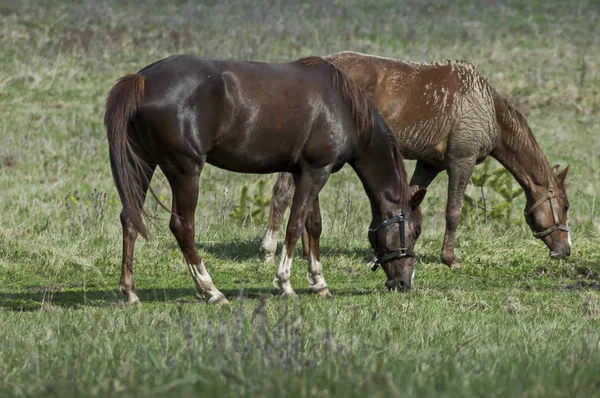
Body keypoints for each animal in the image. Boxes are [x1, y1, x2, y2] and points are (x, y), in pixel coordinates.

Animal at [106, 54, 426, 304]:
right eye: (414, 231)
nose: (404, 283)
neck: (342, 106)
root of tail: (141, 79)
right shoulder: (316, 172)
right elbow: (294, 226)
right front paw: (285, 283)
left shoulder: (307, 171)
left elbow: (313, 226)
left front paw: (319, 283)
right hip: (185, 170)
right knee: (182, 227)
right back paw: (211, 290)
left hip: (143, 164)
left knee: (130, 219)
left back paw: (130, 292)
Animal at [258, 51, 572, 268]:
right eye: (566, 206)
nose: (565, 251)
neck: (487, 108)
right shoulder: (462, 160)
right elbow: (453, 211)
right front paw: (449, 258)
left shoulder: (429, 164)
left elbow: (410, 201)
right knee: (284, 192)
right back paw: (268, 249)